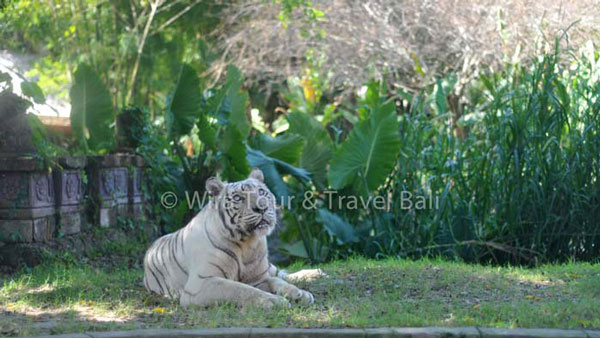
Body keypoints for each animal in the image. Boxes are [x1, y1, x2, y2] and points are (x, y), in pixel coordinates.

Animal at [144, 168, 316, 308]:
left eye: (261, 192)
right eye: (238, 198)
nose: (262, 207)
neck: (247, 244)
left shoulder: (259, 278)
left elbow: (277, 281)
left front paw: (300, 293)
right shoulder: (202, 283)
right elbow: (241, 289)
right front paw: (274, 301)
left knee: (282, 273)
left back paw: (314, 273)